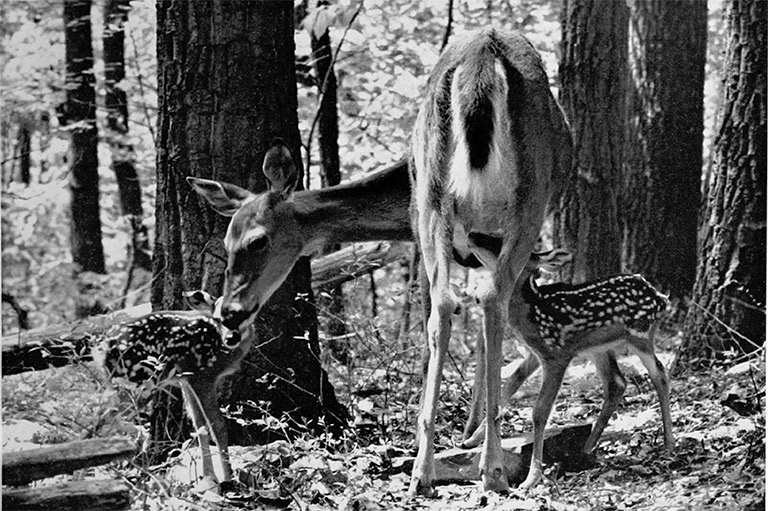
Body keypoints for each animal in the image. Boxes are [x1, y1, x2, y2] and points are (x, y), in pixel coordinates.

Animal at [408, 29, 568, 496]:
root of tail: (484, 51)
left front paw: (465, 428)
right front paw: (473, 430)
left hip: (430, 198)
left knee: (444, 305)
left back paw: (422, 470)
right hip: (529, 197)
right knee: (492, 299)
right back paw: (492, 468)